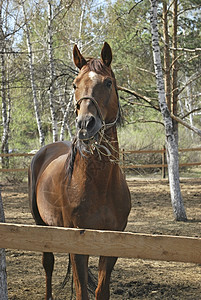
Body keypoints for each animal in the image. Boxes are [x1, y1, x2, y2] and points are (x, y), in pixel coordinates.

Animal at [29, 42, 131, 300]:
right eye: (75, 84)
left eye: (108, 82)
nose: (85, 124)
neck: (100, 184)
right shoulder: (78, 242)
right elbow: (80, 291)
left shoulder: (112, 242)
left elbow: (101, 290)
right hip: (41, 225)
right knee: (48, 263)